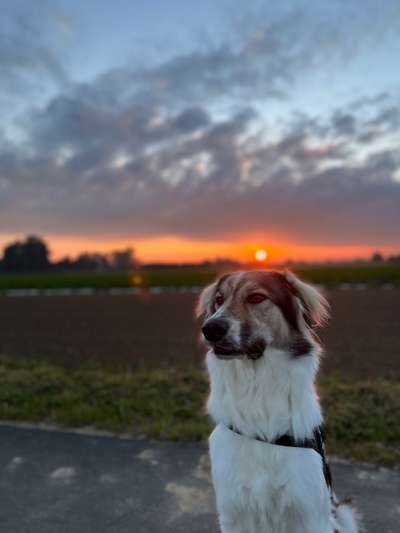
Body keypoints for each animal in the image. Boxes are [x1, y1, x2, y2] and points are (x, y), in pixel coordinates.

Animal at [197, 270, 360, 532]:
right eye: (219, 300)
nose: (210, 329)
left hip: (341, 514)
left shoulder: (309, 514)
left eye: (256, 297)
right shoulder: (233, 512)